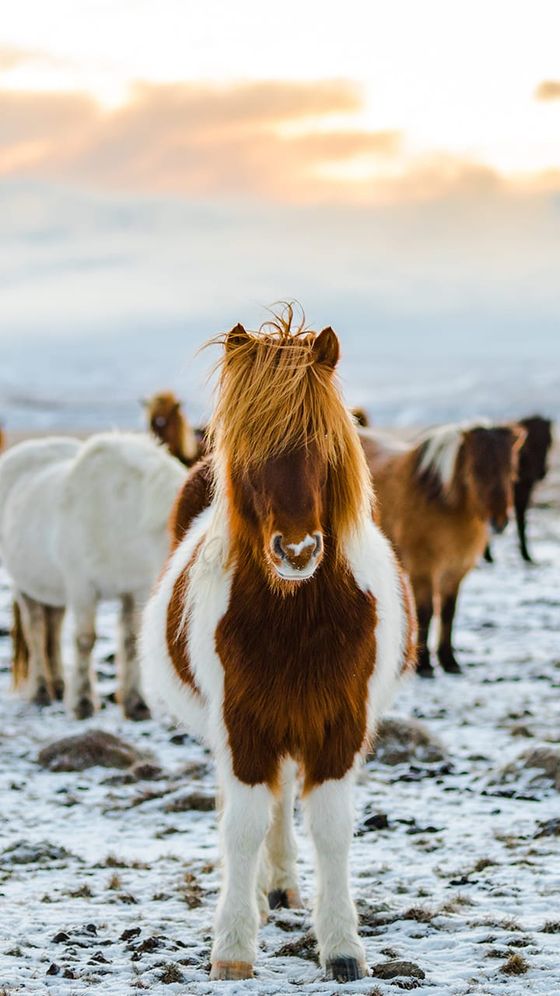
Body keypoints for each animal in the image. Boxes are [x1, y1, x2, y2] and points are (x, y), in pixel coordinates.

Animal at [0, 433, 186, 719]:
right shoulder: (82, 587)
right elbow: (85, 640)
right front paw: (83, 702)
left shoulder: (137, 589)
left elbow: (131, 641)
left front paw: (135, 704)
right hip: (25, 586)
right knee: (36, 630)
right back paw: (41, 691)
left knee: (53, 629)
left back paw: (58, 686)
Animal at [141, 313, 416, 983]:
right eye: (250, 452)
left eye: (324, 445)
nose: (297, 551)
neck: (295, 619)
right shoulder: (243, 726)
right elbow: (241, 827)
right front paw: (234, 947)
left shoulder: (339, 725)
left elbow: (331, 829)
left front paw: (342, 947)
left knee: (282, 798)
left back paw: (282, 889)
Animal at [360, 421, 525, 678]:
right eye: (475, 470)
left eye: (511, 469)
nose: (499, 523)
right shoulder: (423, 569)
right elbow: (426, 612)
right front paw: (425, 665)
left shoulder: (455, 571)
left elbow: (448, 612)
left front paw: (449, 661)